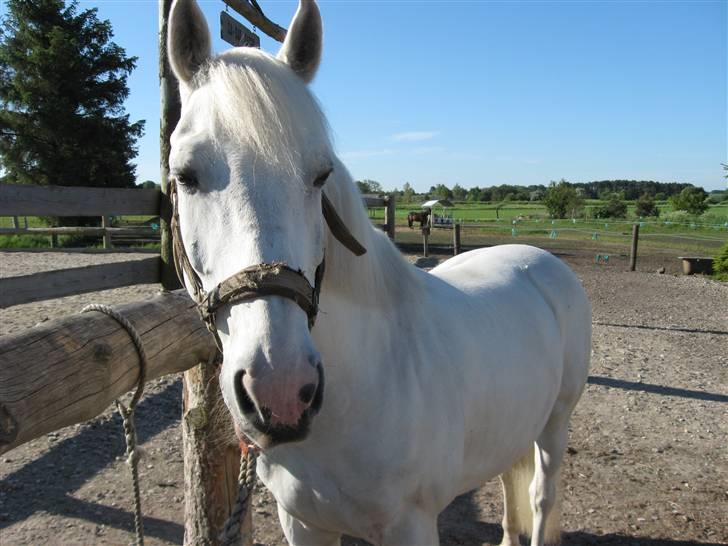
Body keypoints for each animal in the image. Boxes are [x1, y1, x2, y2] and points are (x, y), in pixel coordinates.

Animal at [166, 1, 592, 544]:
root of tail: (539, 261)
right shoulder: (301, 521)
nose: (280, 391)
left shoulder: (411, 525)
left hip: (557, 423)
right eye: (185, 175)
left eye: (321, 175)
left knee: (541, 497)